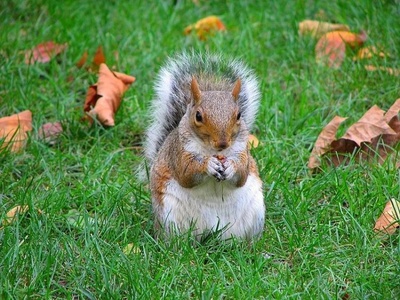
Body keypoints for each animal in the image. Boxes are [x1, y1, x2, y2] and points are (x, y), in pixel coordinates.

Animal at [145, 52, 266, 240]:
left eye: (239, 115)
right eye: (198, 116)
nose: (222, 143)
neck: (213, 151)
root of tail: (211, 232)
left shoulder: (243, 152)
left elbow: (242, 174)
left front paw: (230, 166)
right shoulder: (178, 153)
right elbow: (186, 173)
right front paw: (208, 165)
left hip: (255, 214)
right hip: (169, 217)